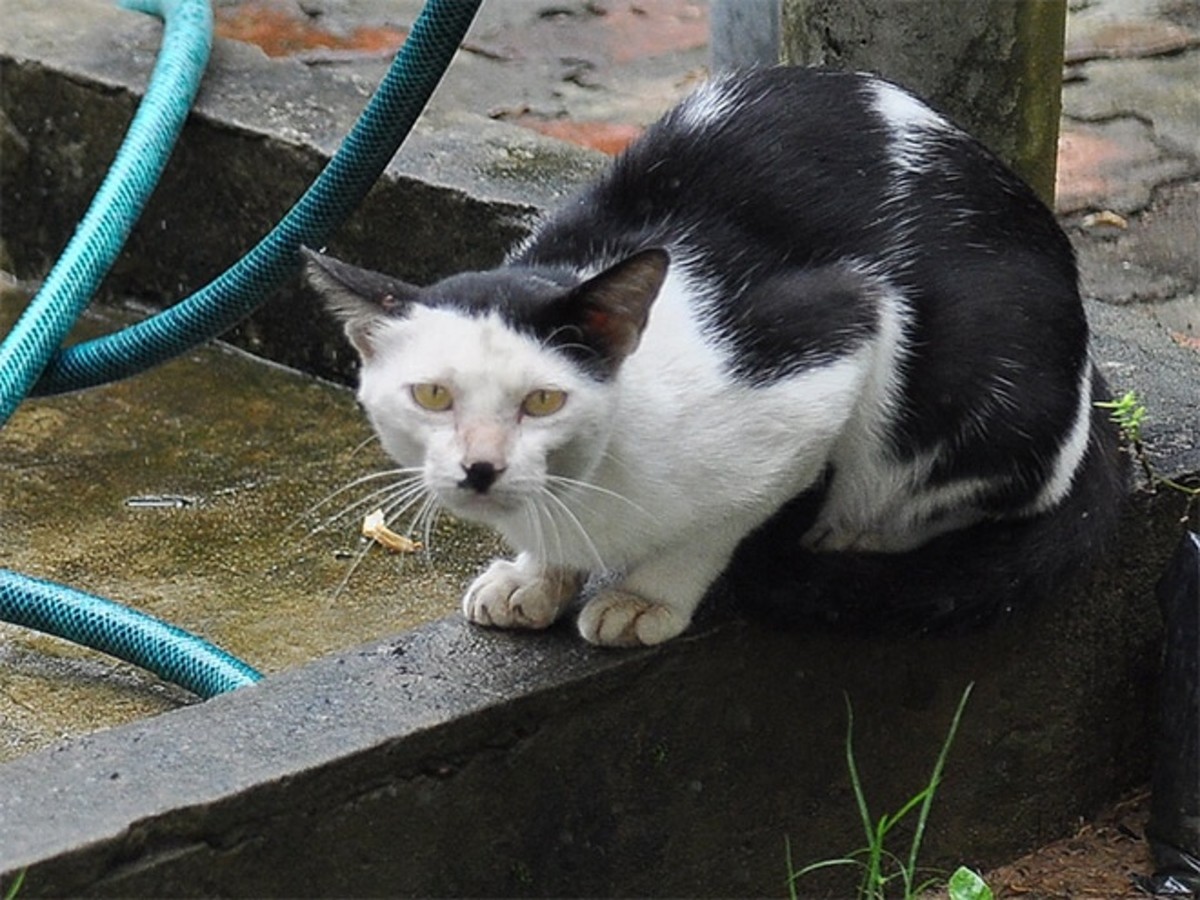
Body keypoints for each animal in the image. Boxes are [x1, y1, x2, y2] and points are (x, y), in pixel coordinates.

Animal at [302, 68, 1123, 648]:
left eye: (543, 400)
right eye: (432, 396)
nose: (480, 467)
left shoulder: (835, 339)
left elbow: (721, 521)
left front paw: (646, 596)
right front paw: (537, 576)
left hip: (983, 358)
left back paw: (852, 534)